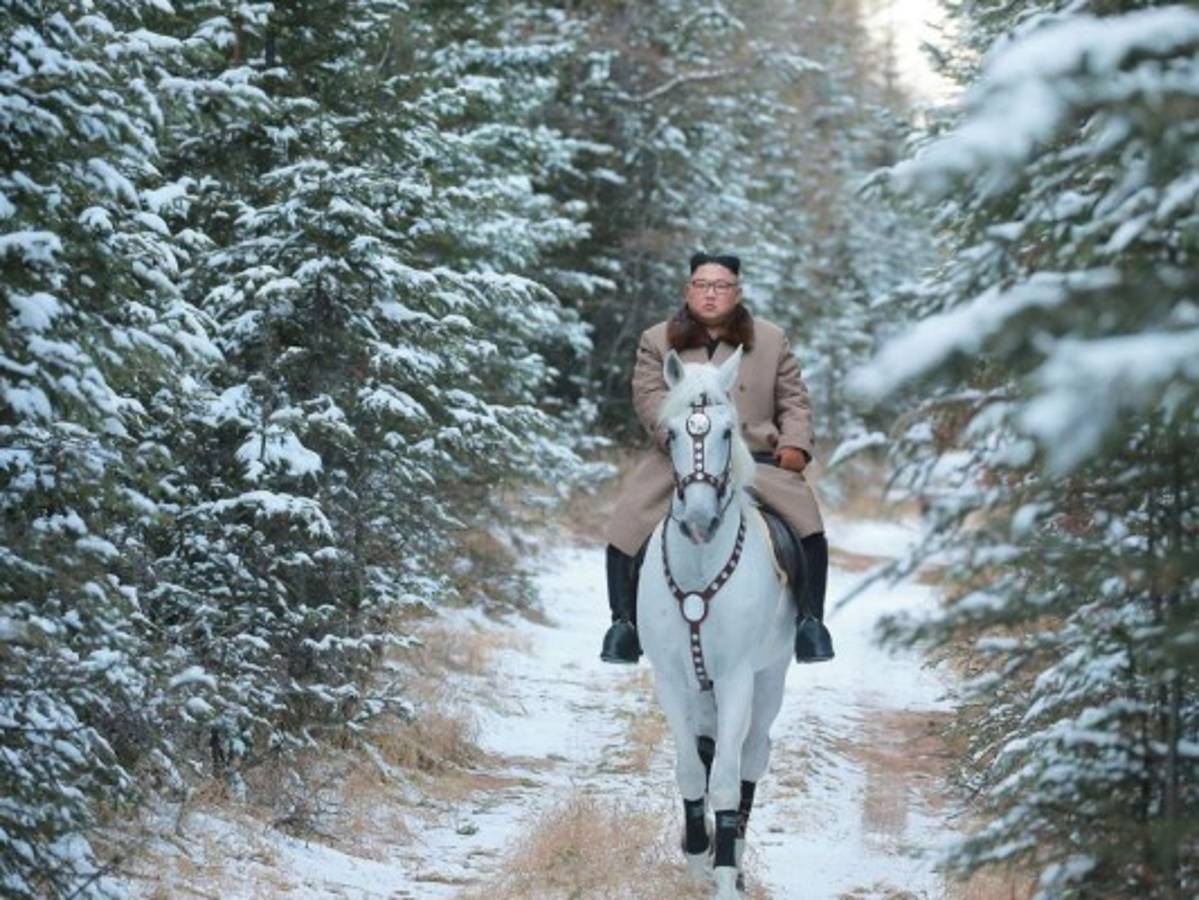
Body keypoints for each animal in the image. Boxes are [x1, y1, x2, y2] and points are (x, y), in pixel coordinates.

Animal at [637, 346, 795, 899]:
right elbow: (691, 770)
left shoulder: (736, 678)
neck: (701, 565)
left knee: (750, 757)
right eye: (672, 435)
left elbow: (726, 779)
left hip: (769, 679)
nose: (700, 520)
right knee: (706, 752)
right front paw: (697, 858)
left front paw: (724, 875)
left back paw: (738, 856)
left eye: (728, 432)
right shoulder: (670, 678)